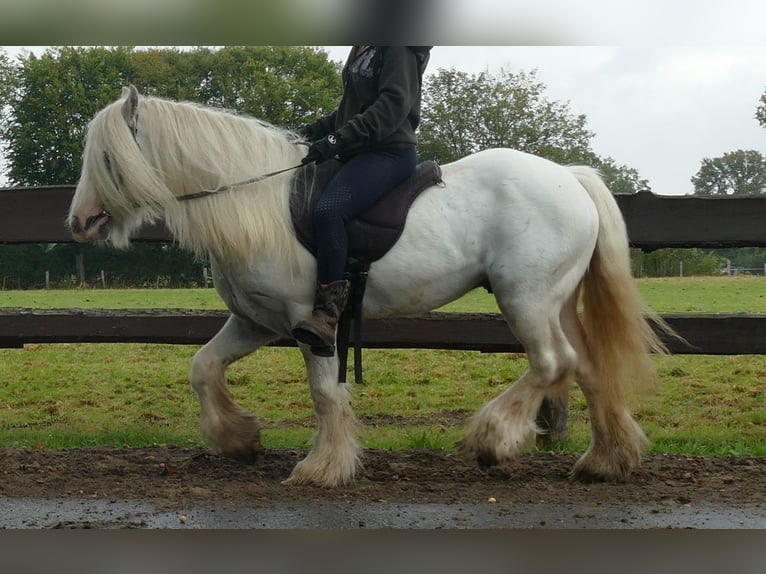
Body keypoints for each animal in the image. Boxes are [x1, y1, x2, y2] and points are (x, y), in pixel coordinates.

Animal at [69, 88, 676, 488]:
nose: (79, 222)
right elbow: (202, 367)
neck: (256, 203)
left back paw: (492, 441)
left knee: (552, 363)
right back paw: (606, 461)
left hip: (525, 298)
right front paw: (238, 438)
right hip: (557, 301)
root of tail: (569, 177)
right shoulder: (256, 321)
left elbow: (324, 394)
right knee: (588, 367)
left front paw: (322, 468)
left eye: (108, 157)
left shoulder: (310, 324)